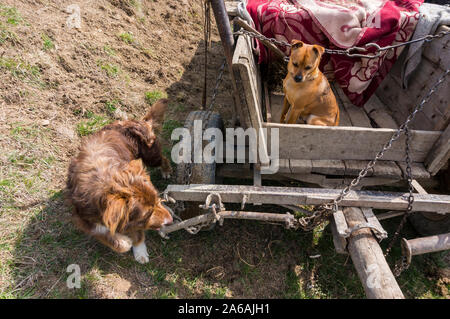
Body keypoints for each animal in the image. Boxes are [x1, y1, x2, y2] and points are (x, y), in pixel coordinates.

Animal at [66, 99, 173, 264]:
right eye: (147, 214)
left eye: (157, 201)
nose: (171, 220)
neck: (105, 181)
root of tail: (140, 121)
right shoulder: (83, 218)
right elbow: (105, 235)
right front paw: (123, 241)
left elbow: (137, 234)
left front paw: (140, 251)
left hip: (150, 155)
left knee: (163, 158)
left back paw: (166, 171)